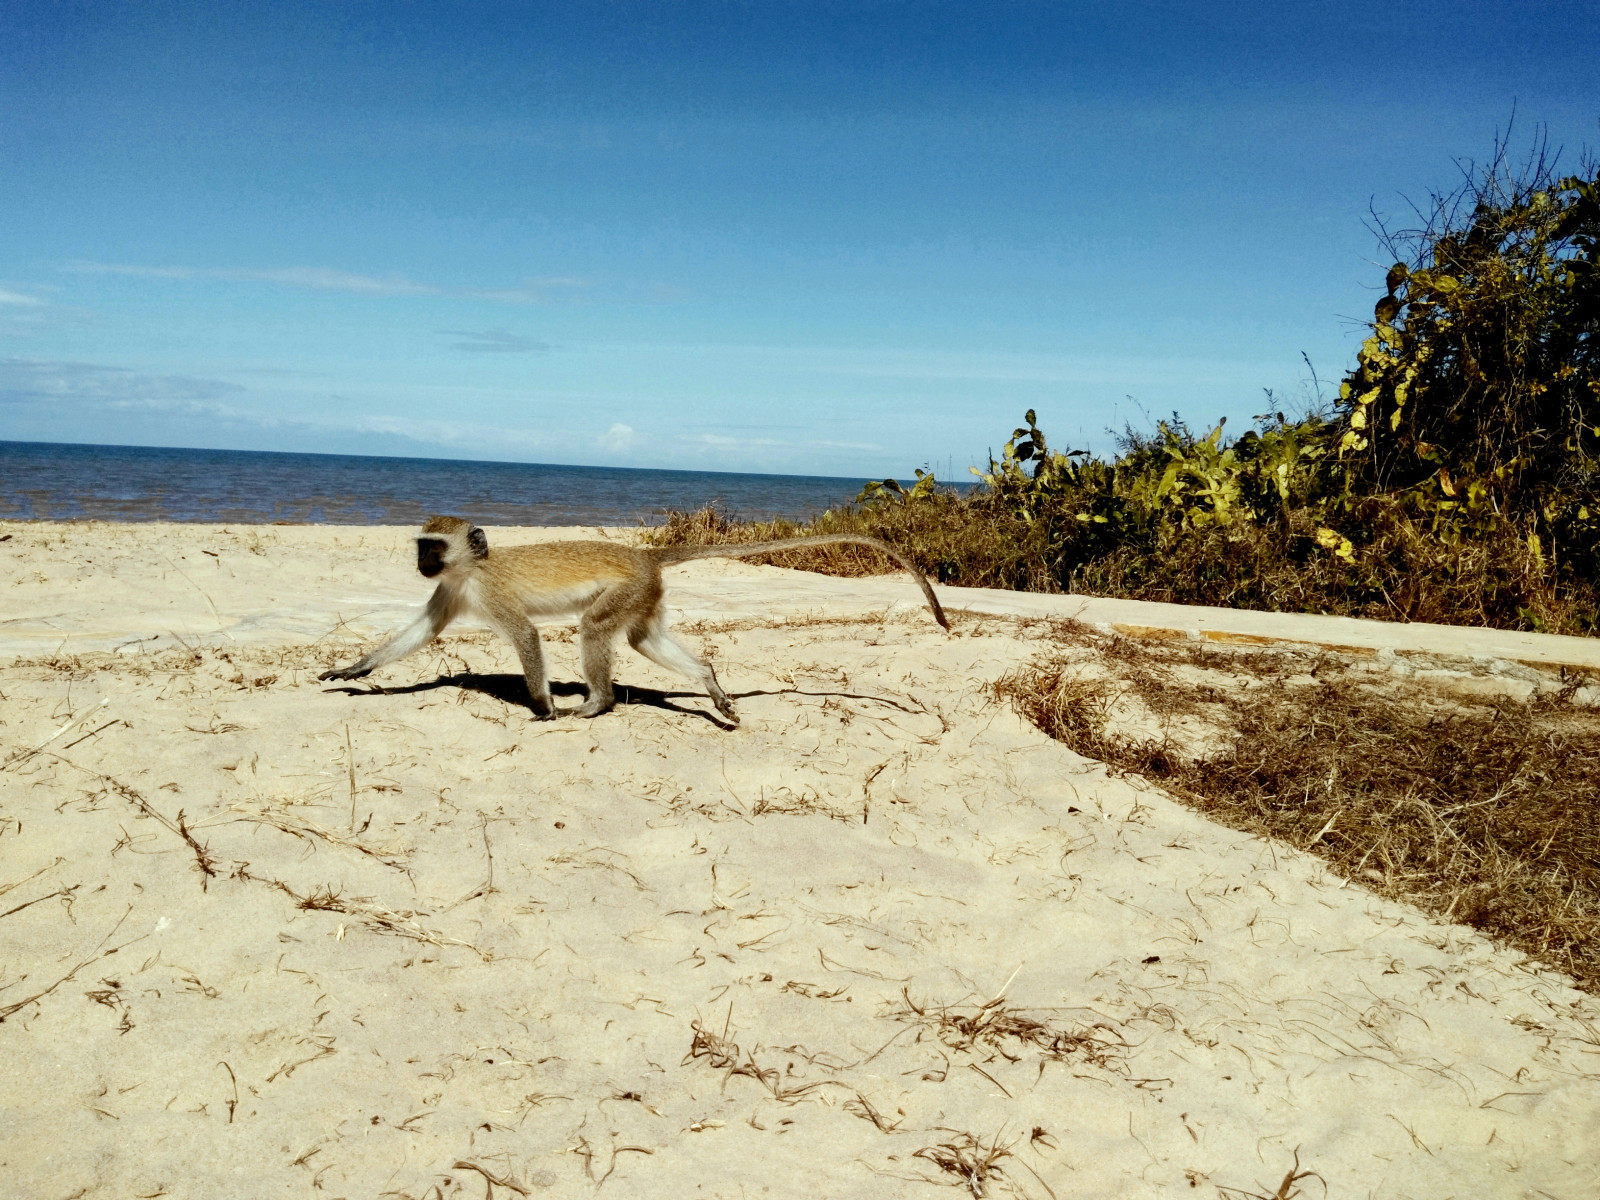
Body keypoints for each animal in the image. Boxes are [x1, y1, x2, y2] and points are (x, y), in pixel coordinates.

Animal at [321, 515, 947, 723]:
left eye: (432, 547)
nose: (420, 563)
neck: (468, 568)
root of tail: (645, 556)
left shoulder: (486, 592)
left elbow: (525, 634)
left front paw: (543, 706)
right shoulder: (450, 592)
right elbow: (418, 634)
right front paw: (353, 671)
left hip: (629, 590)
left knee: (595, 630)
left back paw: (596, 703)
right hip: (645, 597)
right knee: (645, 640)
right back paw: (708, 682)